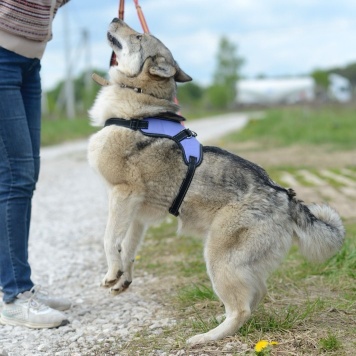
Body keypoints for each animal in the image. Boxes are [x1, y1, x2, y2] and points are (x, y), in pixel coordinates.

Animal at [87, 18, 344, 344]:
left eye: (138, 36)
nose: (115, 19)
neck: (139, 105)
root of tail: (283, 196)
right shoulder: (137, 214)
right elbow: (129, 250)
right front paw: (123, 278)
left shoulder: (123, 195)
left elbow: (110, 240)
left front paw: (110, 274)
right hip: (237, 263)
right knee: (256, 294)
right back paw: (217, 322)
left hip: (218, 258)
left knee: (242, 308)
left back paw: (207, 336)